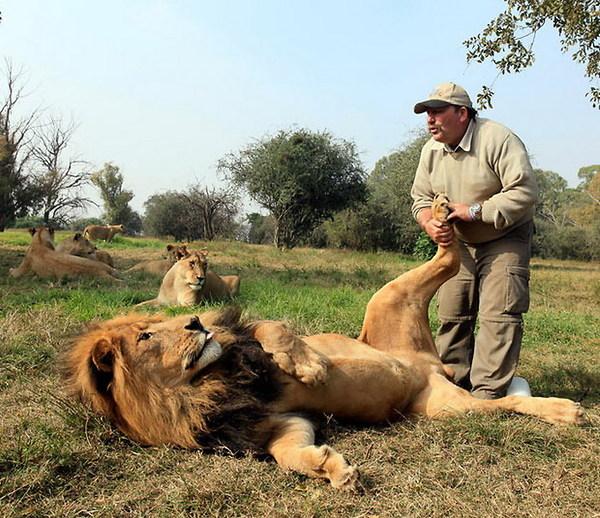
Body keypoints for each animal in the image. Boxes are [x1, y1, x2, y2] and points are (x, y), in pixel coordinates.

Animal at [63, 195, 584, 492]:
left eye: (159, 323)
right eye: (147, 336)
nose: (194, 321)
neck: (201, 387)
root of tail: (430, 365)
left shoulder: (249, 337)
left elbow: (273, 331)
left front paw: (311, 367)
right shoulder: (275, 424)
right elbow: (288, 453)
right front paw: (332, 469)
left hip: (388, 298)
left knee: (448, 255)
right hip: (444, 407)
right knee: (501, 402)